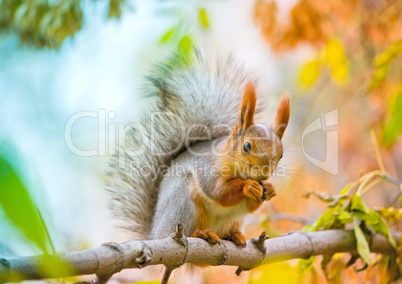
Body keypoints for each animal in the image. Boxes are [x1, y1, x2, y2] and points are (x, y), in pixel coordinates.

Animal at [106, 50, 288, 248]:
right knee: (186, 231)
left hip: (234, 220)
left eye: (281, 154)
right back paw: (201, 234)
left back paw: (234, 235)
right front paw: (248, 186)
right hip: (182, 204)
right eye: (247, 146)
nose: (263, 175)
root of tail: (154, 235)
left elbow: (250, 206)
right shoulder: (207, 167)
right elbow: (219, 192)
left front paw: (270, 189)